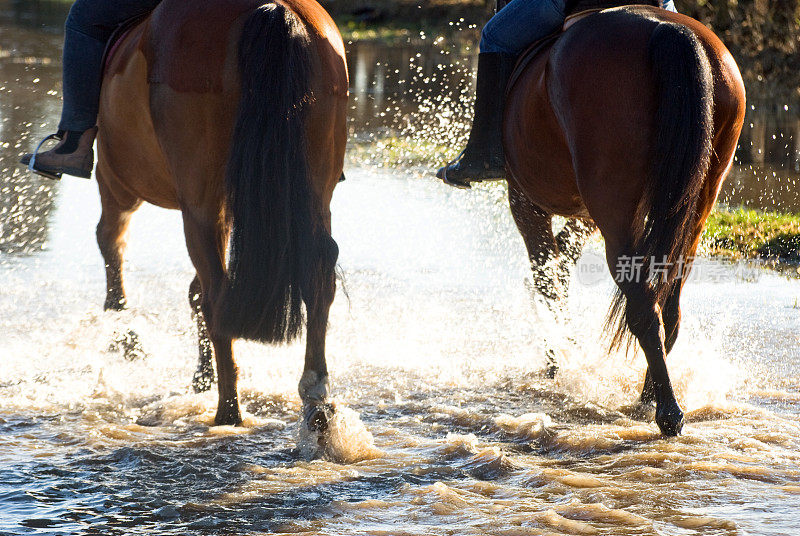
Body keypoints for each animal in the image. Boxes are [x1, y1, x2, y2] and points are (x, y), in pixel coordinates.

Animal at [94, 0, 346, 428]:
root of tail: (274, 9)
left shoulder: (115, 181)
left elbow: (112, 243)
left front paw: (126, 337)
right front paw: (199, 375)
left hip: (193, 203)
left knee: (215, 295)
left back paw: (228, 410)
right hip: (313, 195)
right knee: (318, 277)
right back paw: (316, 402)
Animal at [504, 1, 748, 436]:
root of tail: (668, 30)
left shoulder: (526, 200)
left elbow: (547, 278)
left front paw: (556, 362)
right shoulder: (584, 212)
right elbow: (558, 267)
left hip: (613, 206)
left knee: (643, 307)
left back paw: (667, 411)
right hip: (697, 201)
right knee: (669, 303)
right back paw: (648, 395)